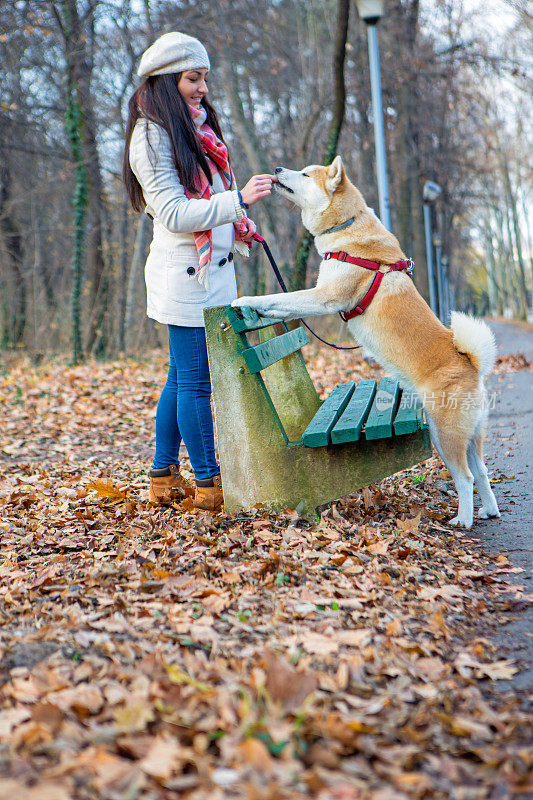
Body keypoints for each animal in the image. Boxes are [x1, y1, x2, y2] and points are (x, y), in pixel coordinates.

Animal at [233, 156, 498, 532]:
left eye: (305, 174)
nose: (279, 168)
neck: (346, 228)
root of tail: (471, 365)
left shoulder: (325, 298)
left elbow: (282, 298)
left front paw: (247, 301)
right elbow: (282, 303)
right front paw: (256, 310)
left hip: (444, 435)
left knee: (466, 477)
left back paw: (463, 518)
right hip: (471, 435)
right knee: (483, 472)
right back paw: (489, 510)